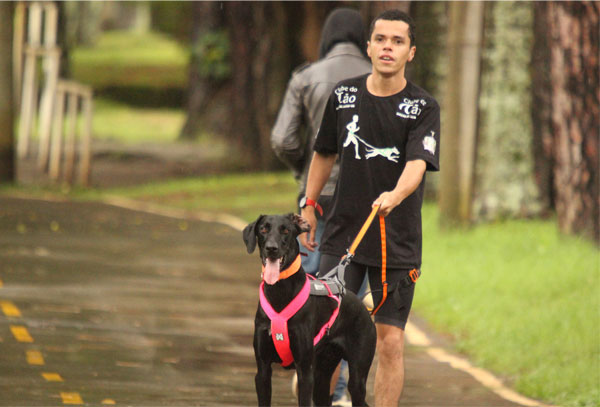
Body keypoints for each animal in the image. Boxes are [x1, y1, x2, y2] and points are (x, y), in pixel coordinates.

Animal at [243, 215, 376, 406]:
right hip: (322, 375)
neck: (279, 292)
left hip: (357, 376)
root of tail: (365, 309)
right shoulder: (262, 370)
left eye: (285, 230)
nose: (271, 248)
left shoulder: (304, 372)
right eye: (263, 229)